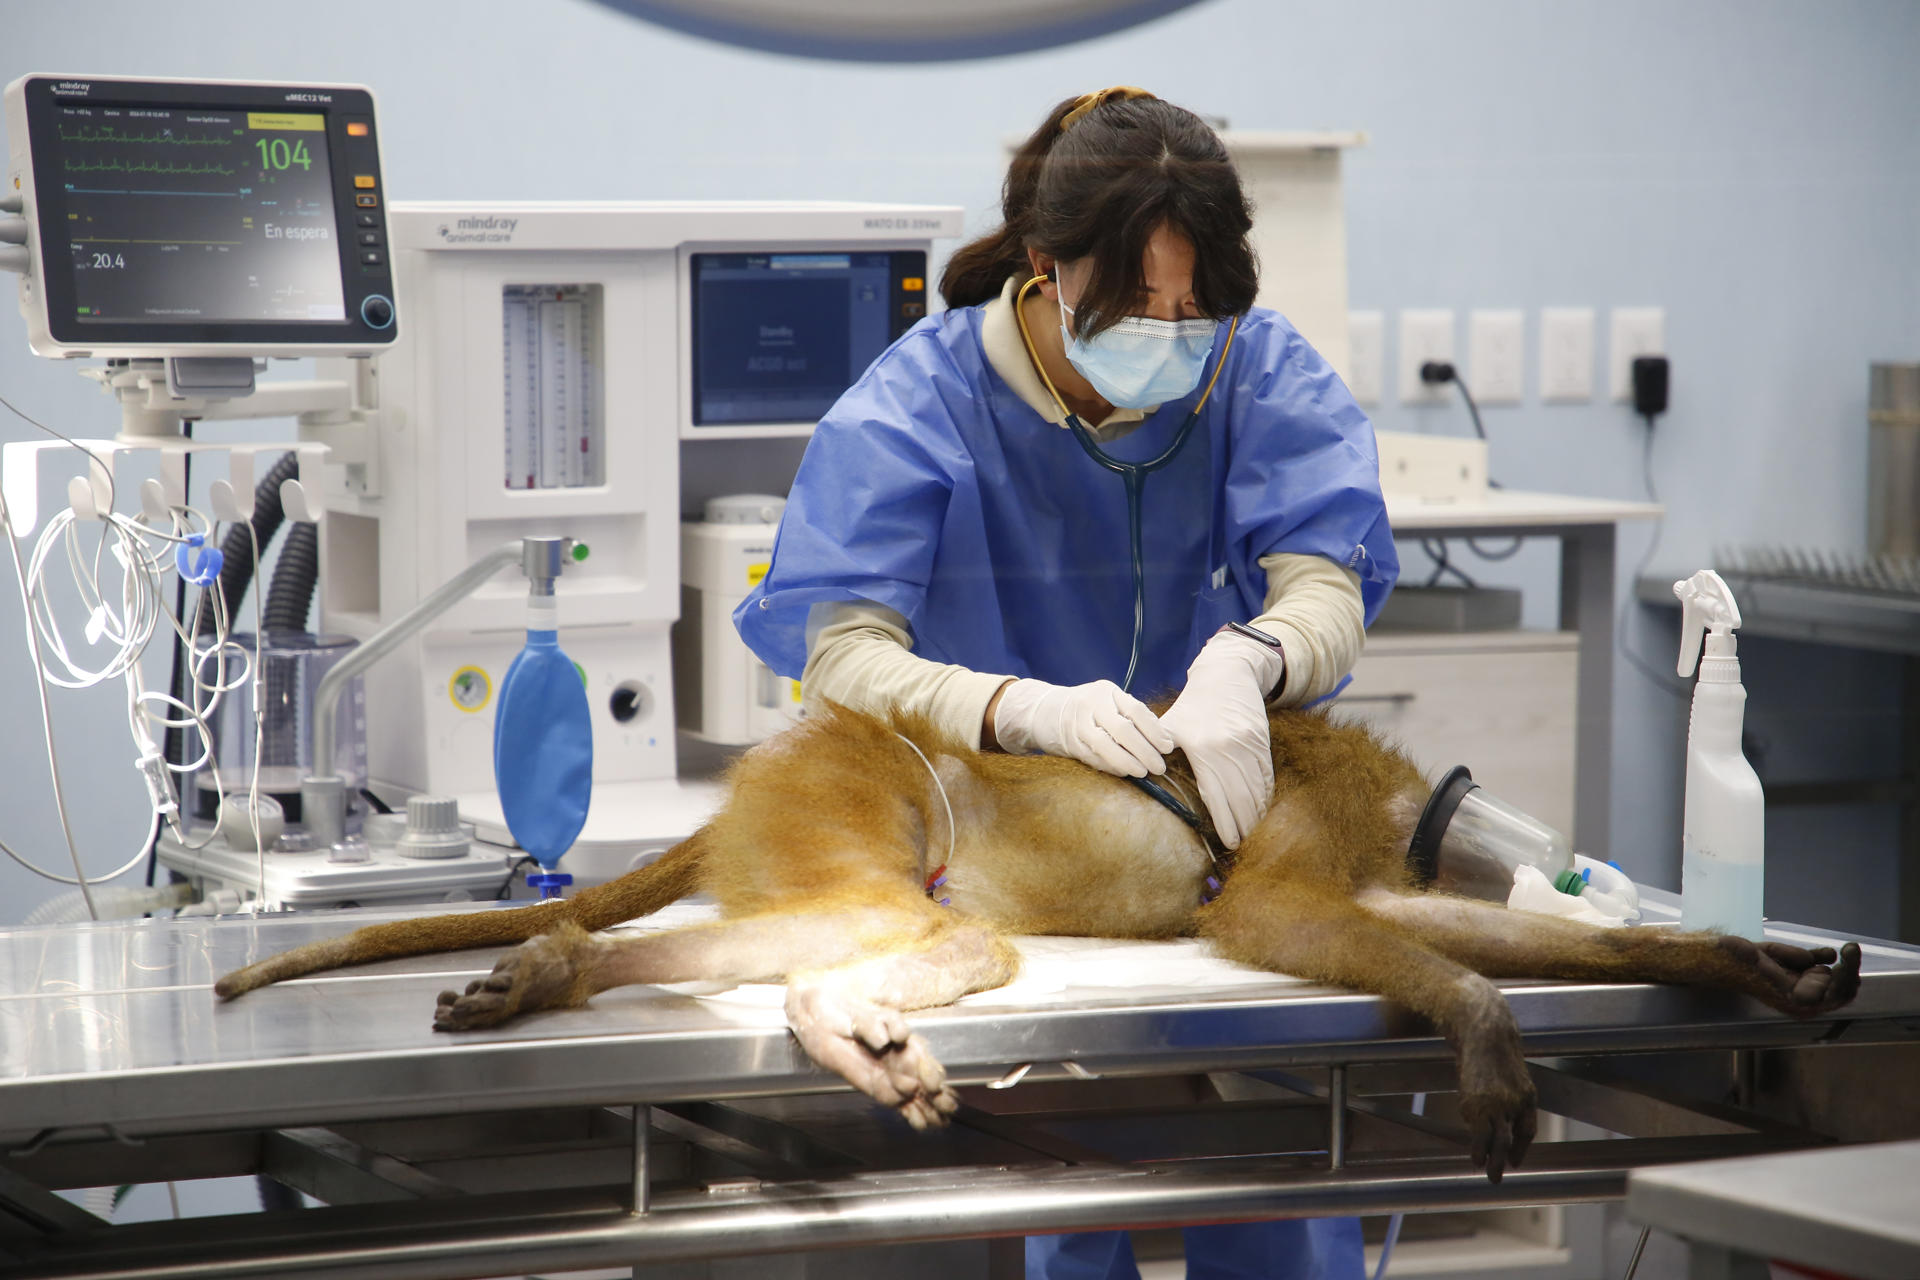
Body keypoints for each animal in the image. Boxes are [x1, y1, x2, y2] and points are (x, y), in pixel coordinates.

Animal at [220, 706, 1858, 1189]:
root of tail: (762, 774)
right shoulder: (1298, 850)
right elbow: (1283, 921)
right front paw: (1482, 1033)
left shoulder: (1387, 876)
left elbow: (1427, 929)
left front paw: (1742, 960)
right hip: (853, 806)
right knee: (883, 937)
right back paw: (792, 1009)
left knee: (850, 947)